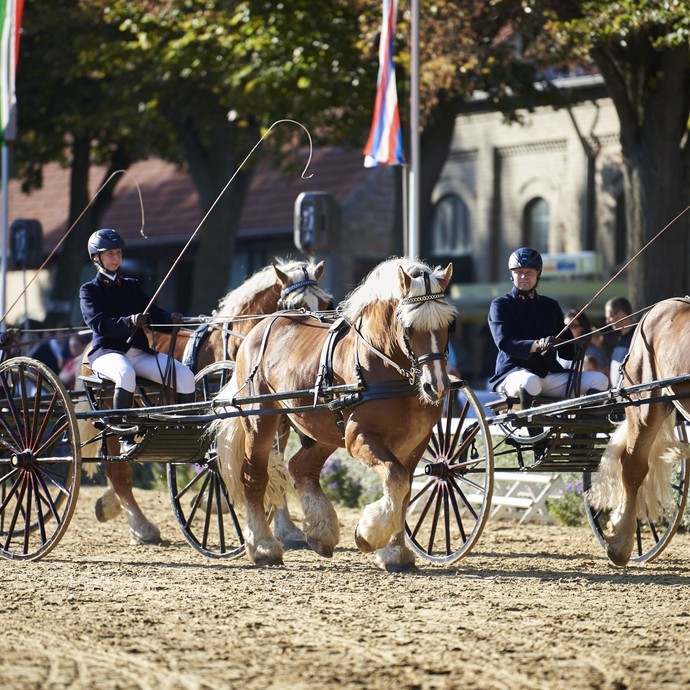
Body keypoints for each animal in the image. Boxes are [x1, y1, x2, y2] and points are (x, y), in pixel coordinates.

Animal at [82, 258, 330, 544]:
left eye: (326, 302)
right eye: (294, 304)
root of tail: (88, 352)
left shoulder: (278, 420)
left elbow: (274, 465)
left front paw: (286, 528)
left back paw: (110, 505)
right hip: (112, 411)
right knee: (119, 471)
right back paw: (141, 526)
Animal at [212, 258, 454, 568]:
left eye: (449, 325)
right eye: (408, 327)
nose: (436, 385)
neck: (382, 364)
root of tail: (259, 328)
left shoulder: (417, 442)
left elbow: (404, 489)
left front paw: (396, 551)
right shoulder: (359, 437)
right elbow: (396, 479)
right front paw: (368, 534)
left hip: (323, 428)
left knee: (300, 467)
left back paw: (320, 531)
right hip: (261, 420)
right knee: (254, 477)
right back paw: (264, 545)